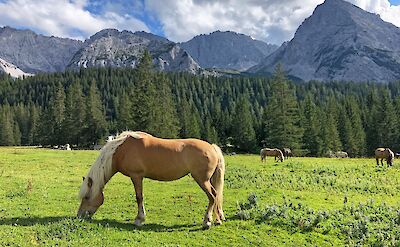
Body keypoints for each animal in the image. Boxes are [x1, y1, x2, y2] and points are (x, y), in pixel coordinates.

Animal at [76, 131, 223, 230]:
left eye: (87, 197)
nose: (79, 215)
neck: (121, 150)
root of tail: (212, 147)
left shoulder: (136, 176)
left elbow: (139, 197)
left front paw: (139, 219)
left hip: (202, 180)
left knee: (213, 196)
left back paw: (207, 222)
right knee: (216, 197)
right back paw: (218, 219)